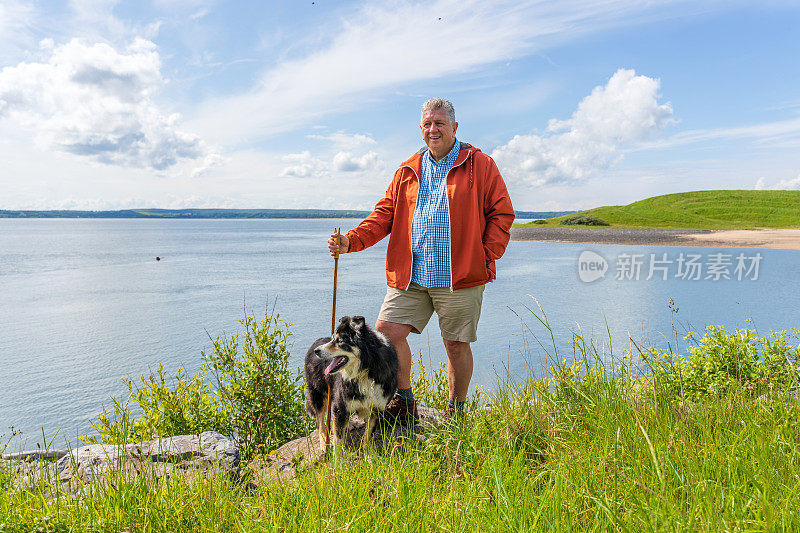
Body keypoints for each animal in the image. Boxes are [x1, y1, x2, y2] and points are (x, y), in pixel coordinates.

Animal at [304, 316, 398, 448]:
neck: (365, 370)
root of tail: (314, 344)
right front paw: (337, 453)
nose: (317, 351)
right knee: (320, 420)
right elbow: (338, 439)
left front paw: (367, 452)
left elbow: (369, 434)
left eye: (340, 341)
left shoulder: (377, 407)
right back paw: (324, 443)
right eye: (333, 338)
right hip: (319, 393)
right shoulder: (341, 403)